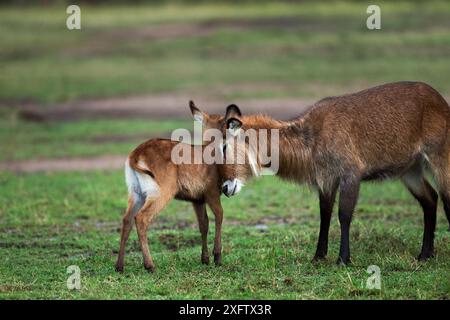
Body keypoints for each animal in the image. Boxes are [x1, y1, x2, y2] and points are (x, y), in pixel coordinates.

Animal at [115, 102, 225, 272]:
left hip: (136, 194)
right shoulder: (212, 194)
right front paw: (217, 258)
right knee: (141, 218)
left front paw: (205, 259)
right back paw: (150, 266)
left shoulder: (197, 200)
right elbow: (219, 215)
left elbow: (204, 225)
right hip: (160, 194)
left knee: (126, 220)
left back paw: (119, 266)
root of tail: (136, 155)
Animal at [218, 81, 450, 264]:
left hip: (439, 157)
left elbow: (344, 215)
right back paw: (424, 255)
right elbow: (325, 214)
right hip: (411, 170)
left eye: (224, 147)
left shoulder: (350, 175)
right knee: (430, 199)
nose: (225, 188)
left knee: (445, 199)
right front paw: (318, 256)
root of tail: (440, 99)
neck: (313, 136)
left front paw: (343, 259)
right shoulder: (326, 180)